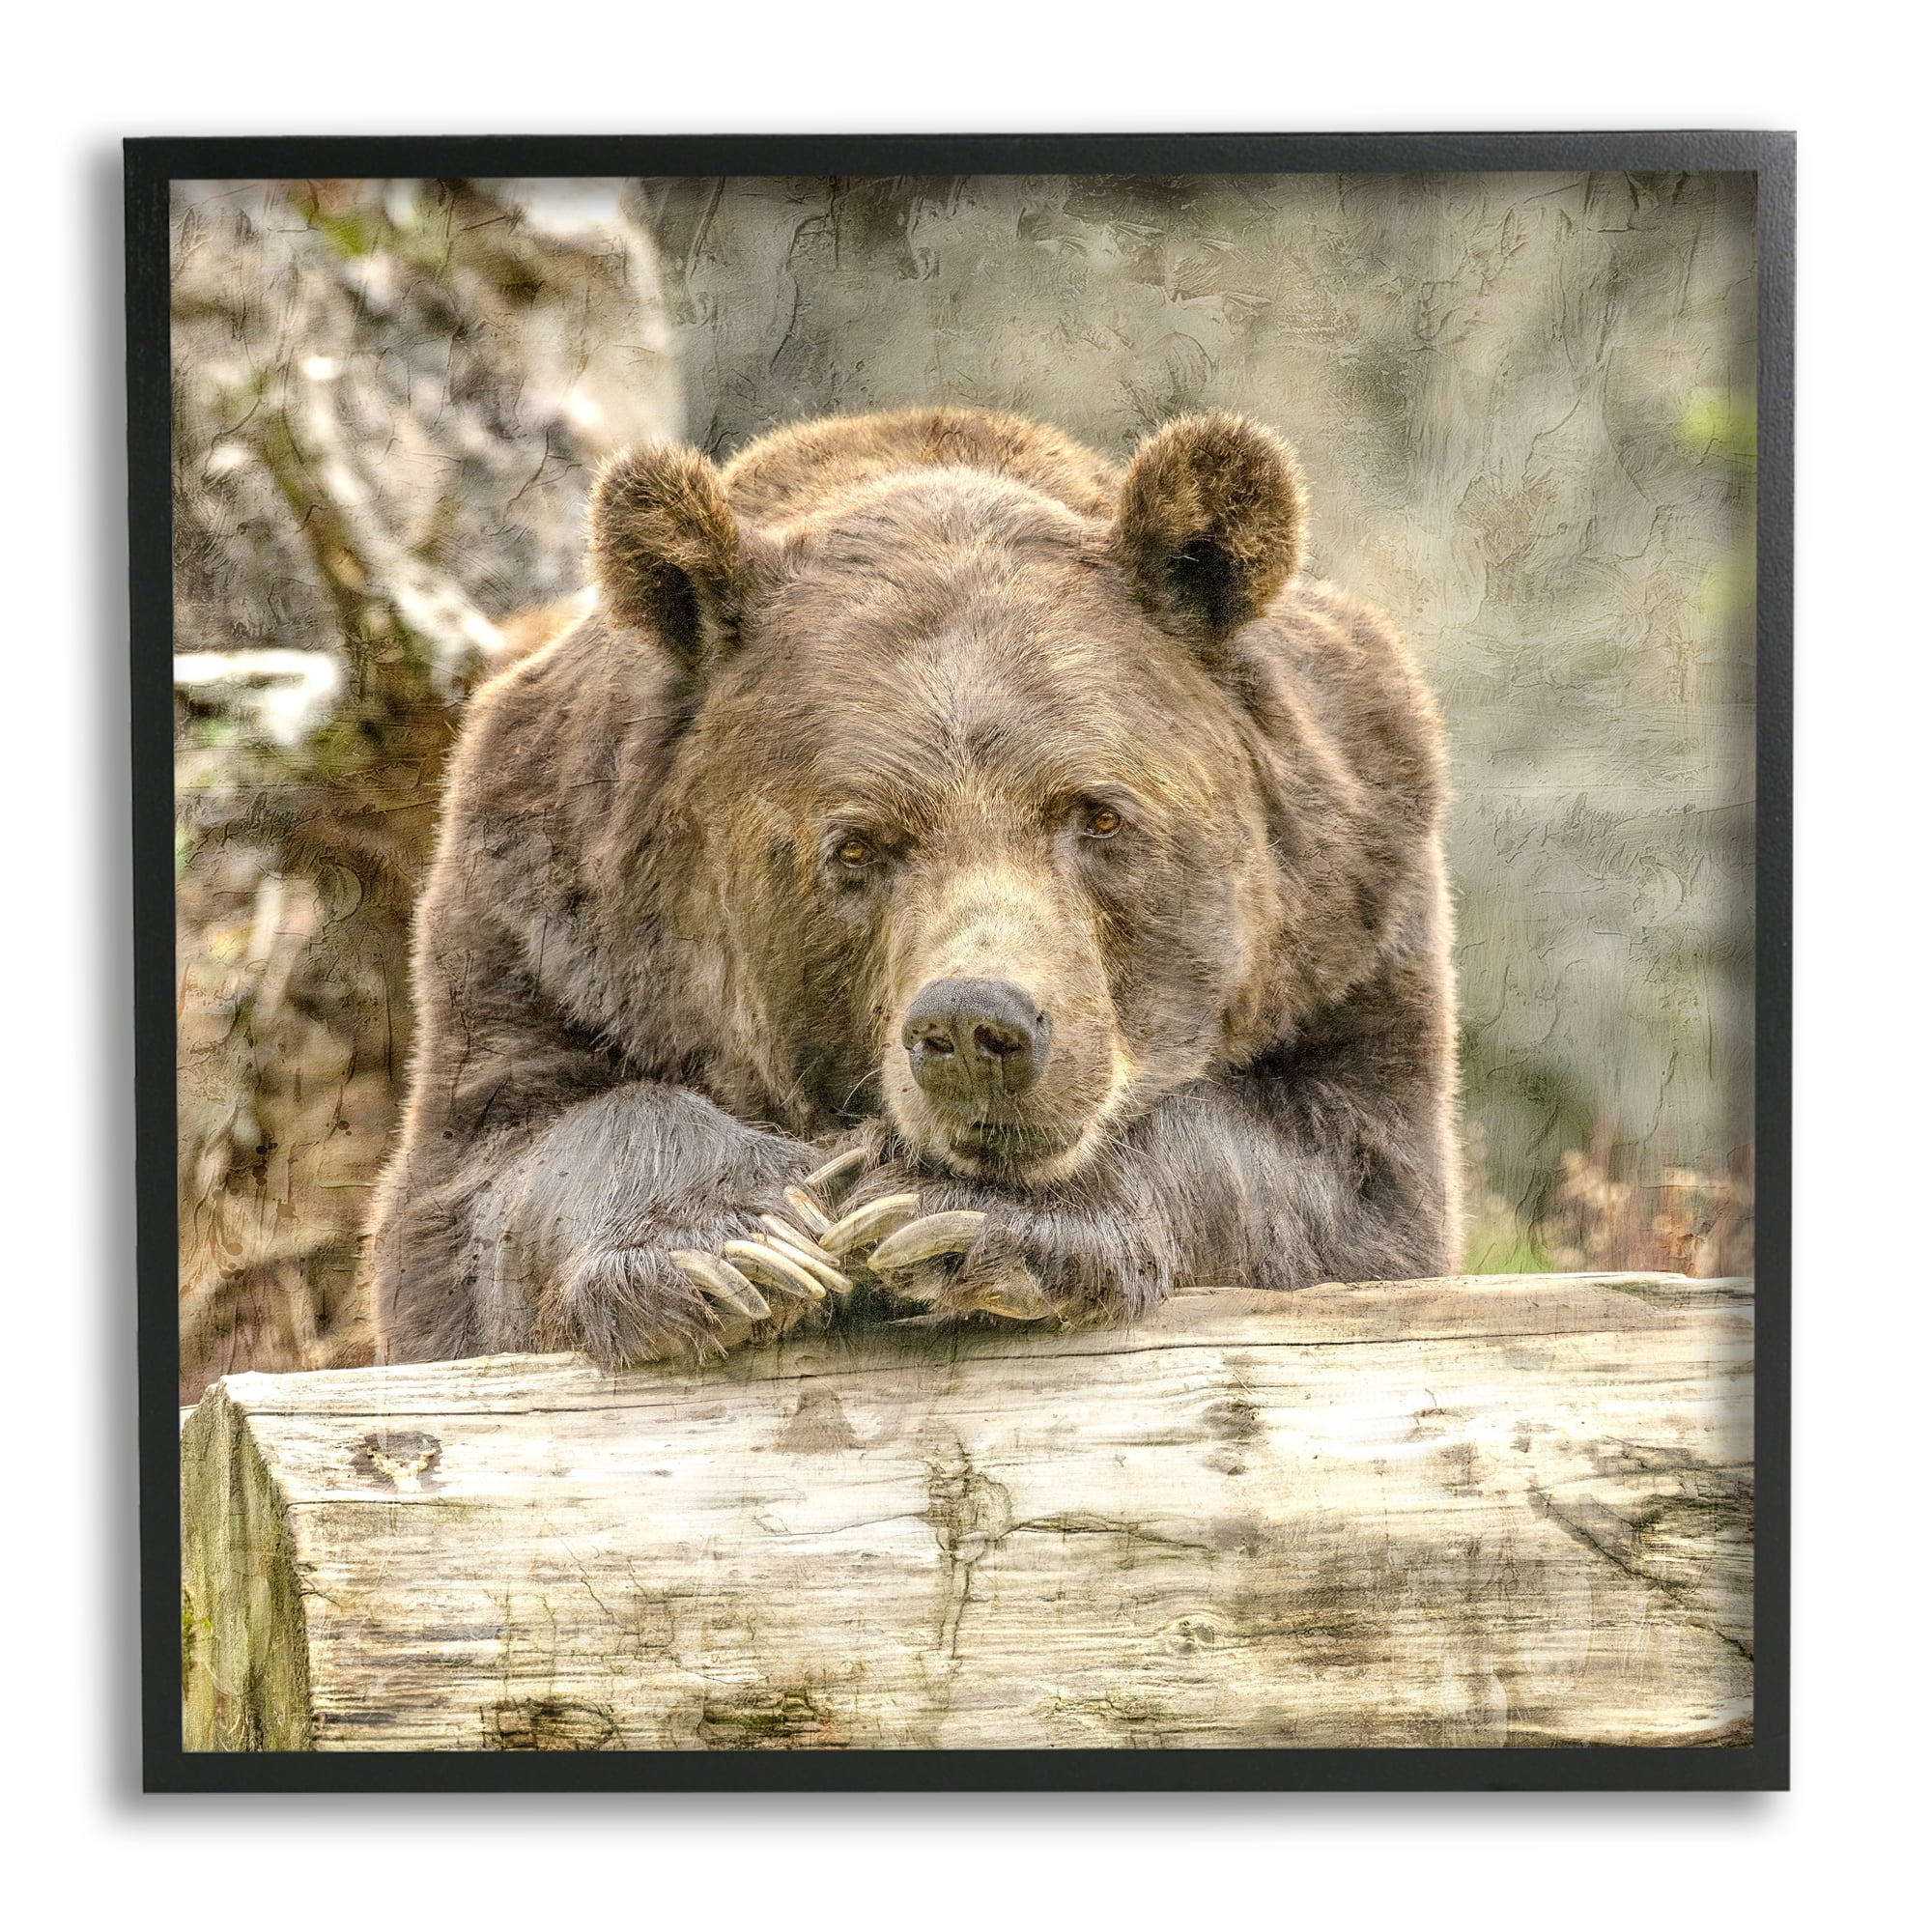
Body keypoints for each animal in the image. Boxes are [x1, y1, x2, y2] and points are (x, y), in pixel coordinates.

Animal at [366, 405, 1458, 1366]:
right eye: (855, 847)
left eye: (1097, 814)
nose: (976, 1026)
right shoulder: (546, 930)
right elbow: (487, 1181)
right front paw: (738, 1244)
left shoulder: (1349, 919)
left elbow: (1331, 1174)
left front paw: (957, 1215)